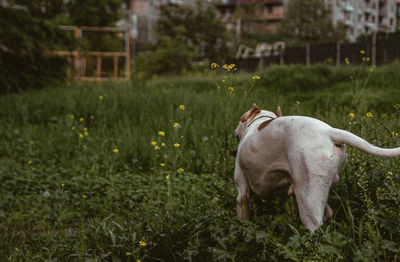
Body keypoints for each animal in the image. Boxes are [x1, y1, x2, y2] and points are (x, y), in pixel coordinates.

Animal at [234, 103, 400, 232]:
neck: (259, 121)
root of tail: (329, 131)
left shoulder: (242, 191)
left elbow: (243, 215)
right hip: (317, 191)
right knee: (327, 213)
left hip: (307, 199)